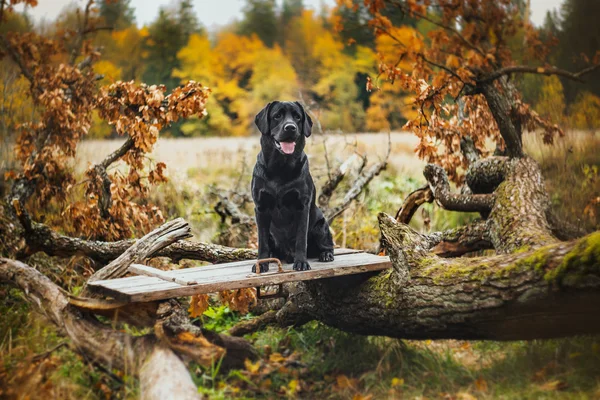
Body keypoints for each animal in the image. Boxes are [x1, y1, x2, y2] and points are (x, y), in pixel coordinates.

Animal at [251, 101, 336, 274]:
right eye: (277, 116)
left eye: (297, 117)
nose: (290, 127)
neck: (279, 168)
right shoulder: (261, 207)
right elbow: (262, 241)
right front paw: (261, 264)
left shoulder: (302, 206)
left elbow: (301, 239)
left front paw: (301, 262)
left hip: (321, 225)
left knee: (327, 245)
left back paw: (325, 254)